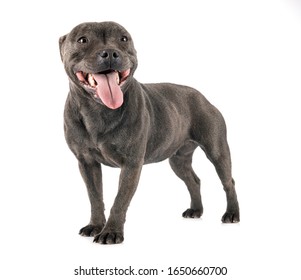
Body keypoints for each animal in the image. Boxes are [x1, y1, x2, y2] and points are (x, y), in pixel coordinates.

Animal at [58, 21, 239, 244]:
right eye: (82, 40)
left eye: (124, 38)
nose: (110, 53)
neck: (97, 110)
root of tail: (203, 97)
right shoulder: (87, 162)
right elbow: (95, 197)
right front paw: (95, 226)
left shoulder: (131, 164)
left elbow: (119, 200)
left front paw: (111, 232)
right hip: (178, 160)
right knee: (193, 180)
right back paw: (196, 210)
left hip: (217, 151)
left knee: (228, 181)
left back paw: (232, 214)